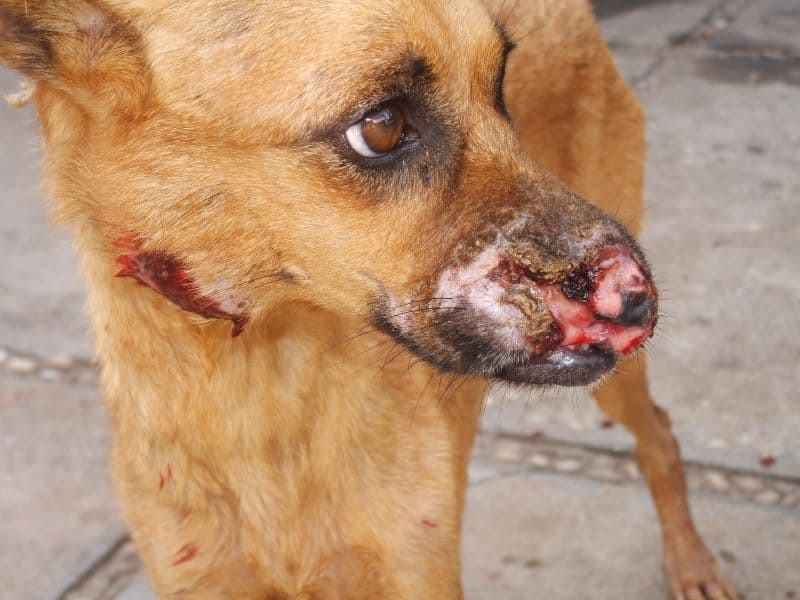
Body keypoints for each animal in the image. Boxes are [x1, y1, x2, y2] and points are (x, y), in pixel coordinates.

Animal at [1, 1, 736, 600]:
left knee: (660, 435)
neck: (262, 373)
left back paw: (692, 564)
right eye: (381, 126)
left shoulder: (416, 569)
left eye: (500, 82)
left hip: (620, 382)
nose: (635, 295)